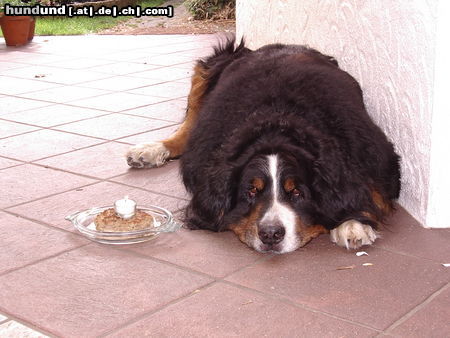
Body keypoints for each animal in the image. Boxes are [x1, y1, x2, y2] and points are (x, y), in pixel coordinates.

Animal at [125, 37, 400, 254]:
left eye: (297, 193)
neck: (277, 120)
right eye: (251, 191)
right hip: (213, 64)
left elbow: (369, 190)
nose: (270, 234)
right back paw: (151, 149)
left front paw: (354, 224)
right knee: (188, 124)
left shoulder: (373, 155)